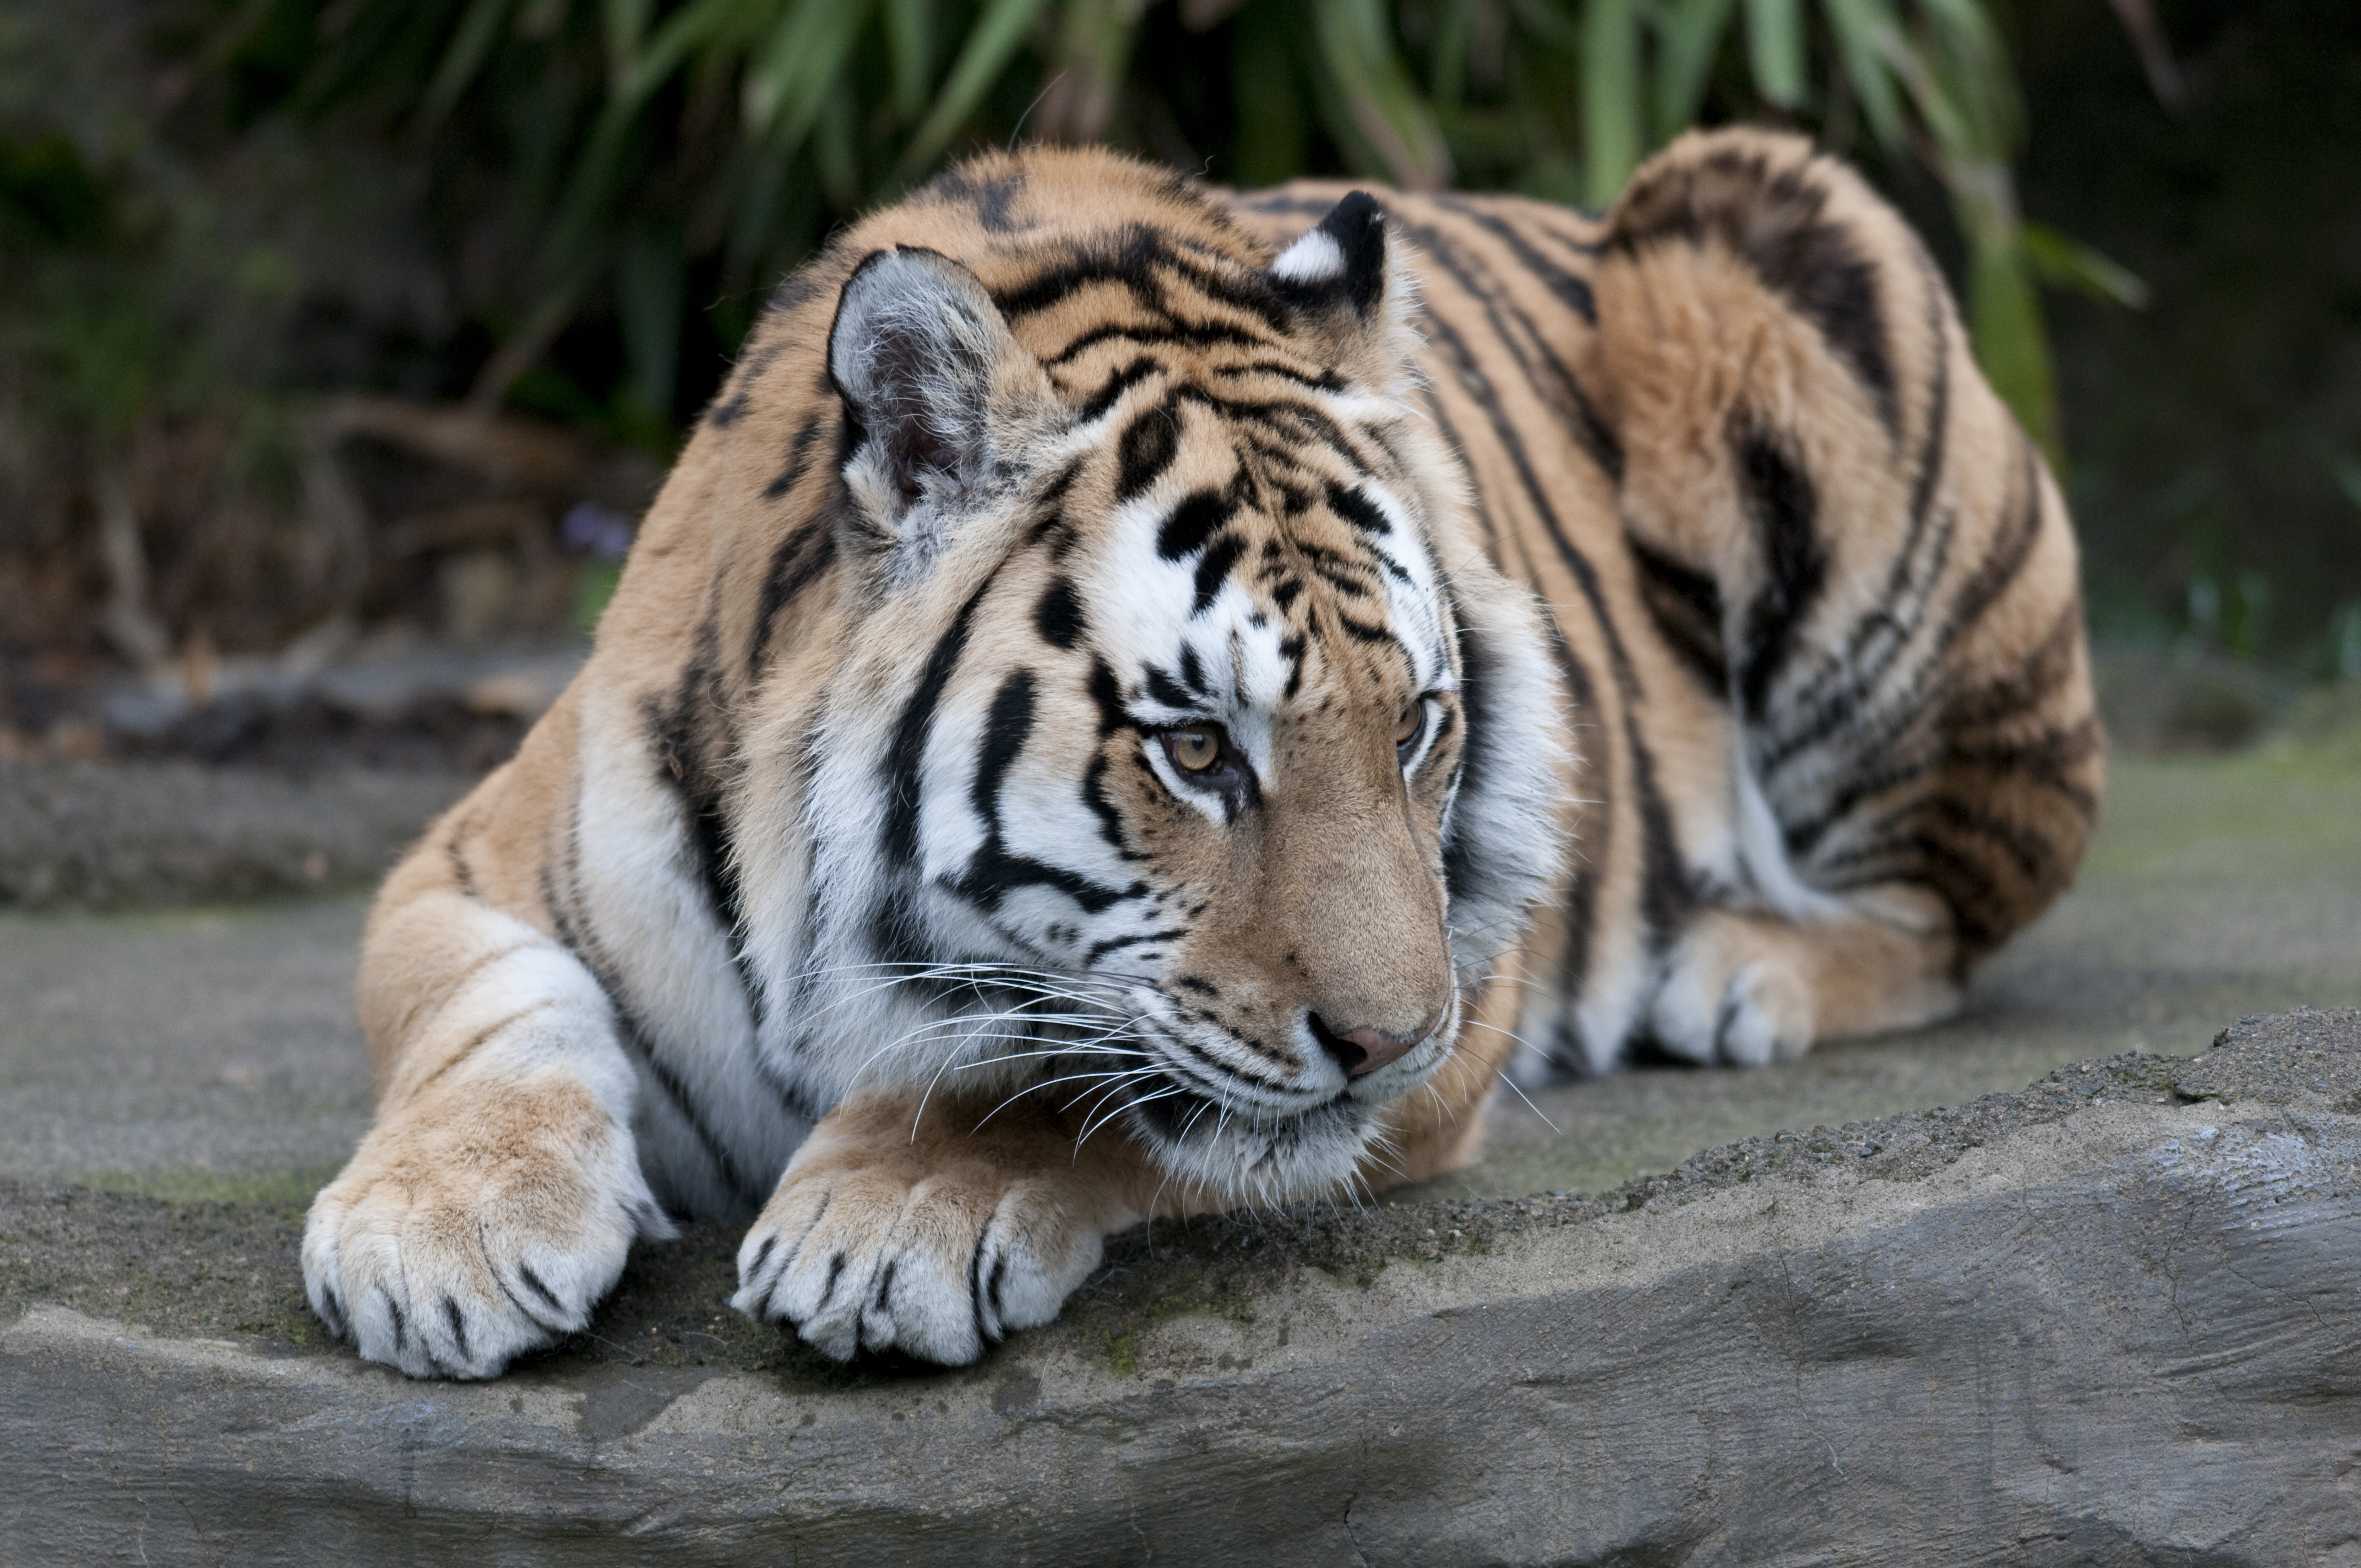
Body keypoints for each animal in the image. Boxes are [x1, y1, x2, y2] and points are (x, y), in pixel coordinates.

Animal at [300, 128, 2106, 1379]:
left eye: (1418, 726)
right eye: (1192, 749)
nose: (1388, 1044)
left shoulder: (1465, 983)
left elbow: (1078, 1077)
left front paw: (891, 1216)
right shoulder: (480, 848)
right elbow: (478, 1005)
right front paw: (443, 1232)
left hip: (1769, 235)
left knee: (1958, 904)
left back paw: (1744, 968)